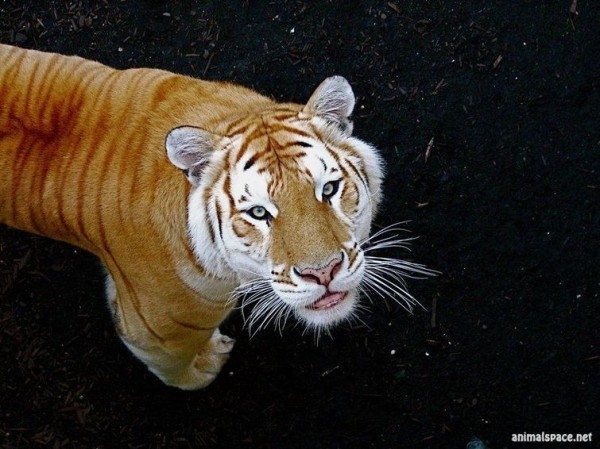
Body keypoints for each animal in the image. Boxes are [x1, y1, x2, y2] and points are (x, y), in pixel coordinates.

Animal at [0, 44, 433, 390]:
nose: (323, 273)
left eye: (328, 190)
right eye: (258, 212)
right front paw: (204, 369)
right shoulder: (154, 332)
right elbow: (174, 369)